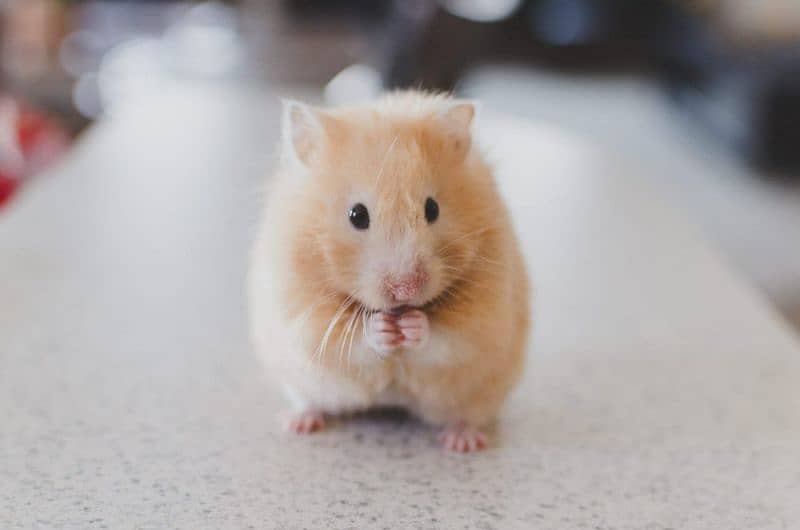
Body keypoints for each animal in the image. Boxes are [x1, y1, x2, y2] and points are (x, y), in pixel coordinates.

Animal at [247, 89, 528, 450]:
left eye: (432, 209)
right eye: (357, 215)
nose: (406, 290)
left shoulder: (483, 317)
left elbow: (446, 338)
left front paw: (412, 326)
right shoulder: (303, 313)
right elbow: (348, 341)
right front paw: (382, 329)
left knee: (468, 415)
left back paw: (462, 442)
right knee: (309, 400)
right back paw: (298, 422)